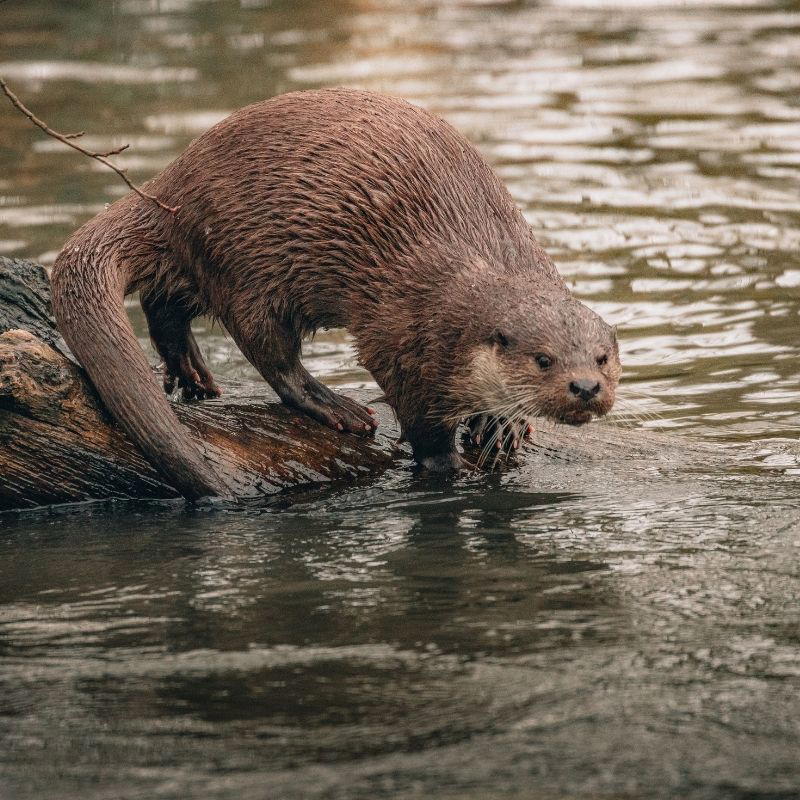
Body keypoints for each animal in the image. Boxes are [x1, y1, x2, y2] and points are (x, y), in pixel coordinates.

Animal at [51, 88, 620, 500]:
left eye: (602, 358)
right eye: (544, 360)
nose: (586, 387)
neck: (473, 270)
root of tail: (169, 188)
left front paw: (501, 425)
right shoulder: (399, 334)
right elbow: (417, 416)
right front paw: (445, 463)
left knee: (165, 303)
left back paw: (192, 374)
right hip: (250, 261)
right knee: (268, 351)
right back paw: (333, 407)